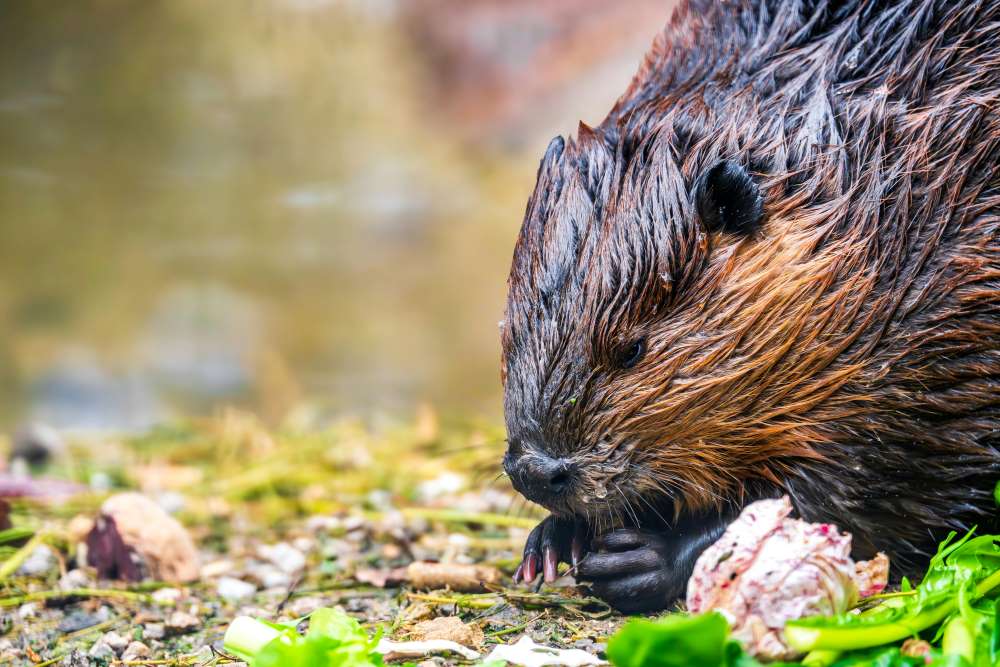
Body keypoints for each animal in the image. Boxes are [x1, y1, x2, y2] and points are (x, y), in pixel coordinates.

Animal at [504, 0, 1000, 612]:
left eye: (632, 349)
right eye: (511, 330)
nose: (536, 472)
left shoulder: (935, 338)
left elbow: (864, 491)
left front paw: (642, 558)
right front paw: (551, 541)